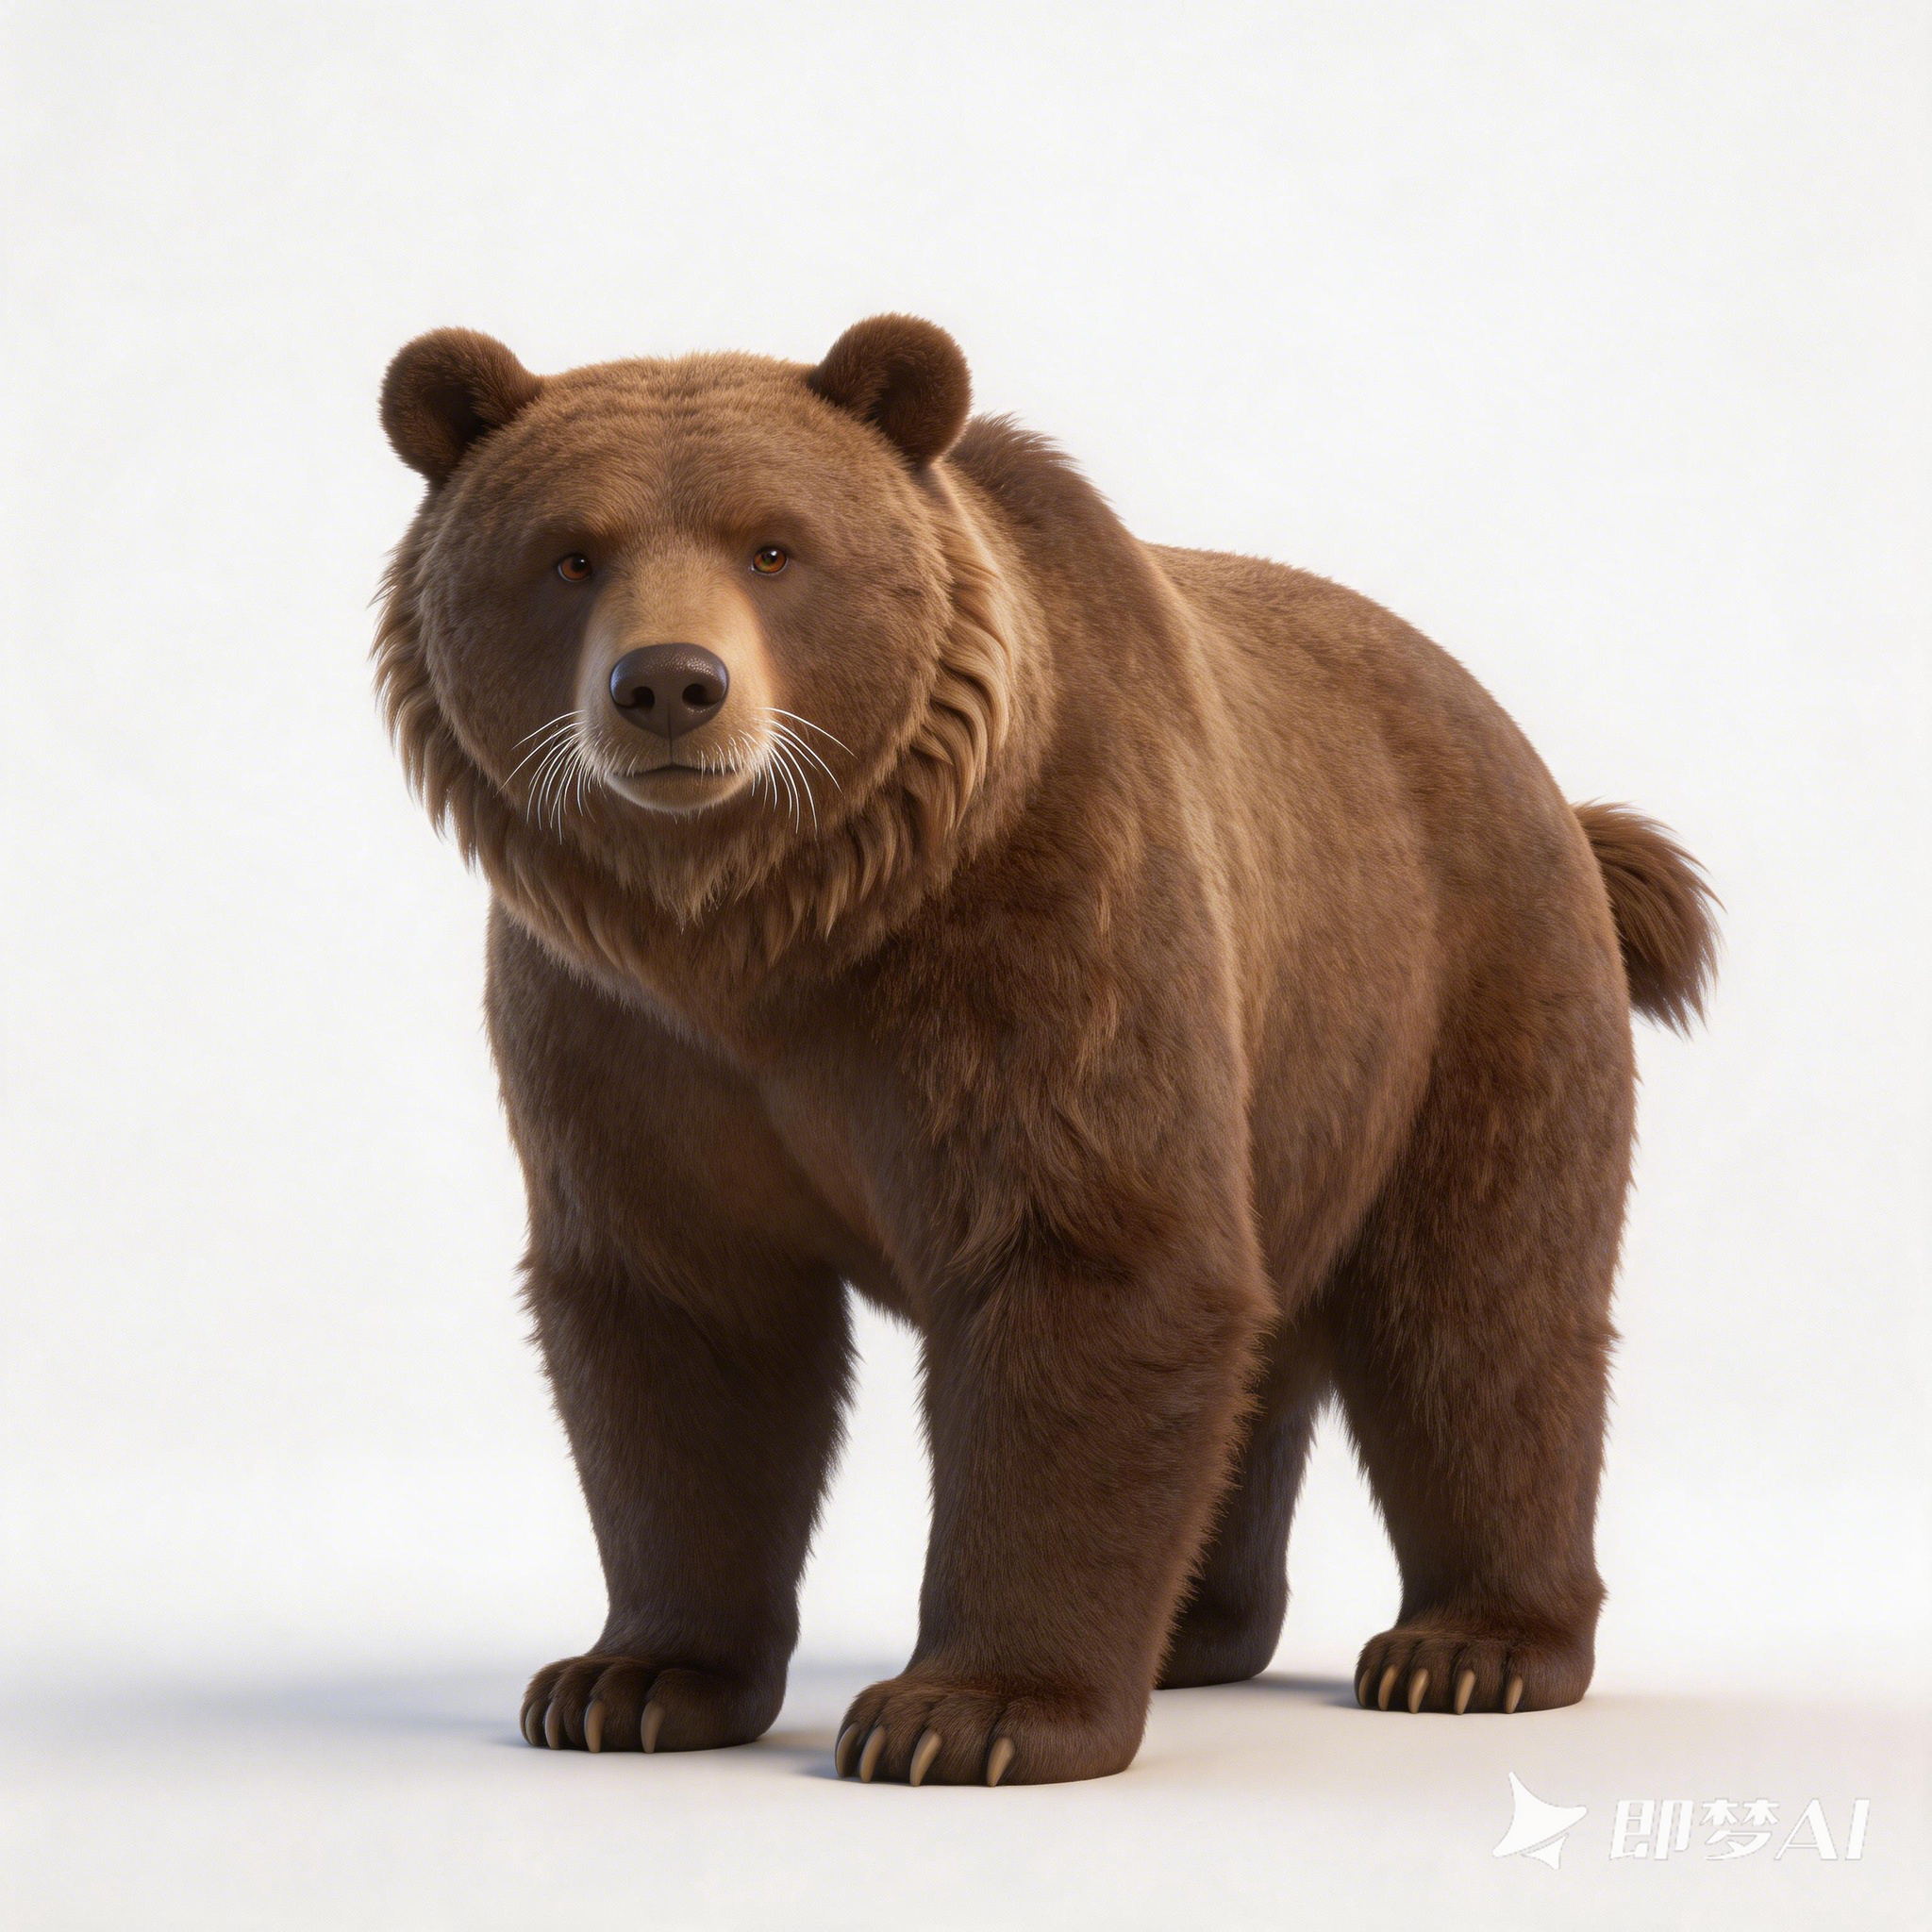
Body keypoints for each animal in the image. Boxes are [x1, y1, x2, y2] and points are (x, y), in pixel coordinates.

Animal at [374, 314, 1717, 1786]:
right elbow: (681, 1321)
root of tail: (1547, 783)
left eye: (774, 546)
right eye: (569, 553)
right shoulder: (615, 1033)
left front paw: (967, 1712)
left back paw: (1470, 1648)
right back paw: (1195, 1629)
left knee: (1479, 1309)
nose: (670, 684)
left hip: (1456, 990)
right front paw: (629, 1680)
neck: (767, 925)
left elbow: (1089, 1262)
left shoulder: (1044, 931)